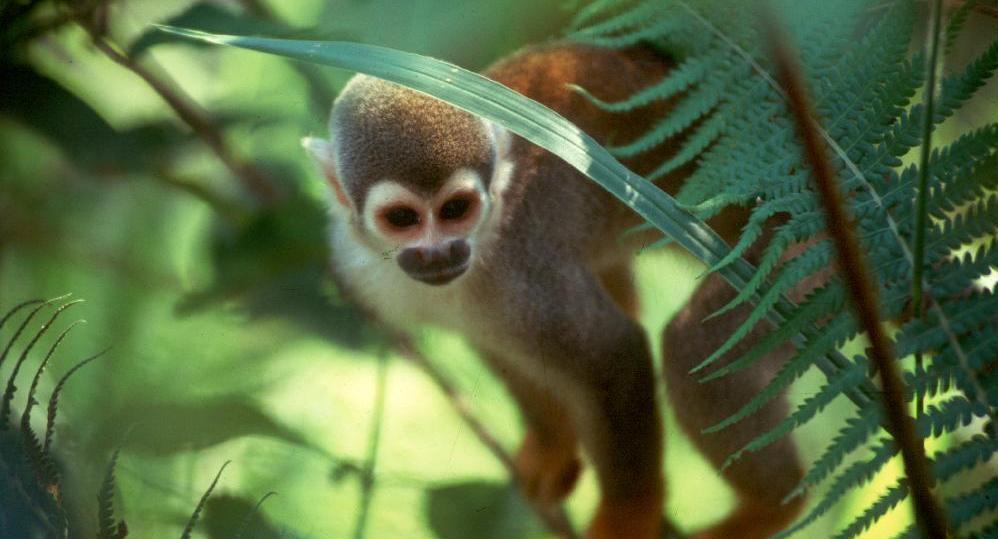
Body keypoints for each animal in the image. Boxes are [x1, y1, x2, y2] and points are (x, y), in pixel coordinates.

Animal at [306, 44, 812, 536]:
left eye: (455, 209)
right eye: (402, 218)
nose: (441, 253)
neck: (487, 239)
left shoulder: (525, 270)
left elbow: (613, 355)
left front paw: (625, 519)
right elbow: (501, 350)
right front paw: (551, 449)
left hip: (799, 265)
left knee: (697, 350)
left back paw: (774, 507)